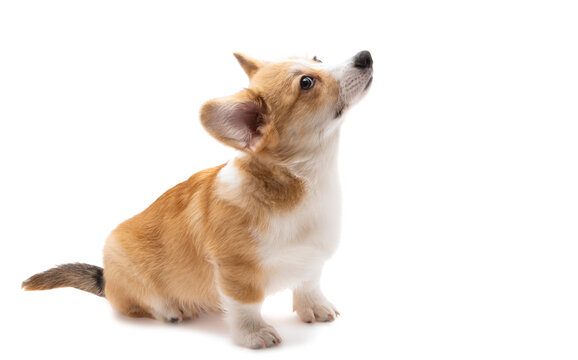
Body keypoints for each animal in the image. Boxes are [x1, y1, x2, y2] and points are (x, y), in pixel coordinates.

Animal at [21, 50, 374, 348]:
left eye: (316, 58)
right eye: (306, 83)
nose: (365, 56)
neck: (302, 180)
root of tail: (105, 279)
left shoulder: (312, 257)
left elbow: (308, 283)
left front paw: (315, 308)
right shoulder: (236, 269)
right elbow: (246, 304)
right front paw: (254, 334)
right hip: (121, 258)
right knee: (140, 303)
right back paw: (170, 309)